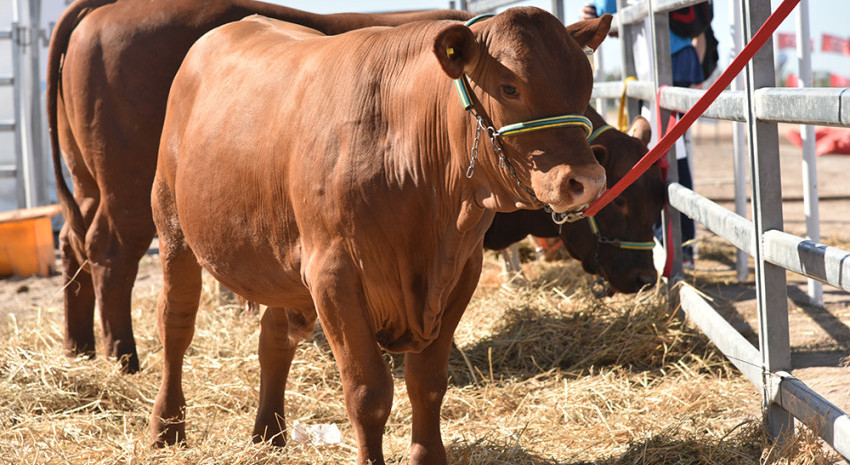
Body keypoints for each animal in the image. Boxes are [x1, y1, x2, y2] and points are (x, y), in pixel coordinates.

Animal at [46, 0, 474, 372]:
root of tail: (106, 8)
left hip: (87, 181)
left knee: (72, 240)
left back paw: (78, 348)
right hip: (131, 194)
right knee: (110, 251)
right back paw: (123, 358)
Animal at [147, 9, 608, 462]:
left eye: (585, 85)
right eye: (509, 87)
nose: (588, 180)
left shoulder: (462, 271)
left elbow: (428, 384)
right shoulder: (334, 276)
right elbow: (368, 394)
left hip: (279, 261)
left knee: (273, 338)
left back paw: (269, 435)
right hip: (172, 227)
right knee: (176, 324)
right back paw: (167, 430)